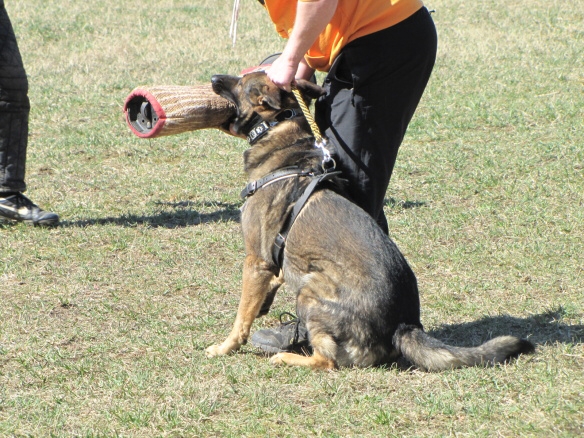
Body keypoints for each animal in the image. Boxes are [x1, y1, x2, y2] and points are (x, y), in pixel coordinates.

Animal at [205, 72, 532, 370]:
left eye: (241, 81)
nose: (213, 77)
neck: (282, 138)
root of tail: (402, 325)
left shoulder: (255, 262)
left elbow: (242, 316)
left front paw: (225, 348)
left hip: (312, 290)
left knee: (327, 361)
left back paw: (288, 358)